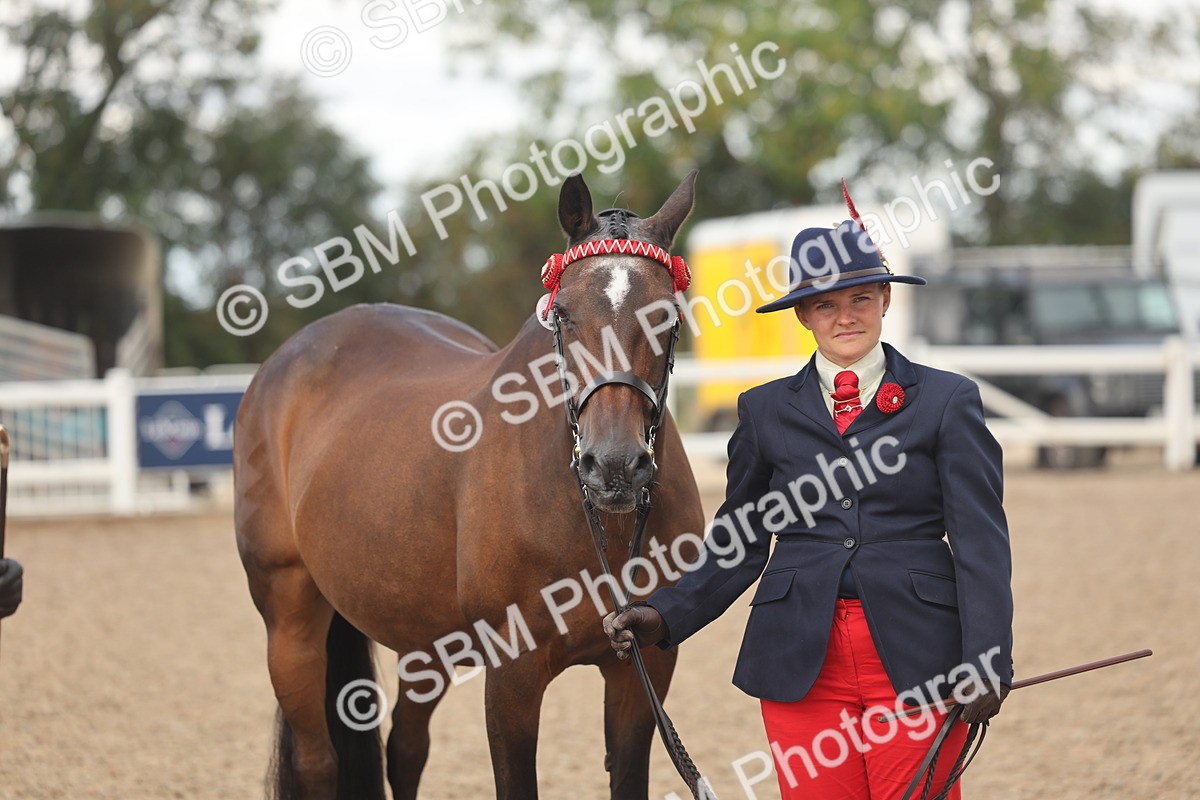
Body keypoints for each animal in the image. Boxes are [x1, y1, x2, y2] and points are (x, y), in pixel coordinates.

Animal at [233, 170, 706, 800]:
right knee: (318, 764)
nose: (614, 466)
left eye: (667, 318)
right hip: (289, 618)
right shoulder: (511, 678)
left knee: (405, 751)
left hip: (421, 637)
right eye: (562, 315)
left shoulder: (644, 667)